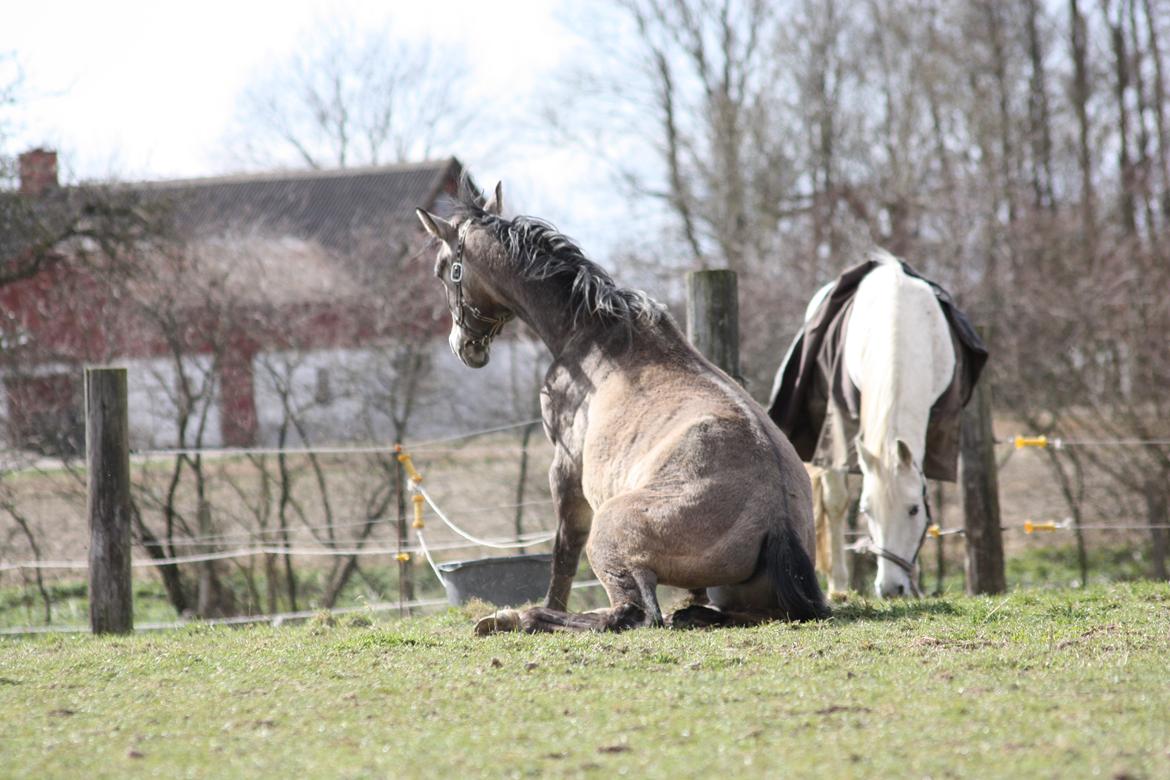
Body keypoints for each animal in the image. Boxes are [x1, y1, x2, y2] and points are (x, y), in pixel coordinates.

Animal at [416, 183, 828, 636]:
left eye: (443, 269)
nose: (463, 347)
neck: (592, 335)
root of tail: (778, 525)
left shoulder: (565, 468)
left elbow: (564, 553)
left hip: (610, 536)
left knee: (632, 614)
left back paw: (515, 618)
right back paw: (693, 614)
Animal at [772, 253, 982, 603]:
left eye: (914, 510)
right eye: (867, 511)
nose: (892, 588)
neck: (901, 323)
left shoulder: (938, 424)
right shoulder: (840, 425)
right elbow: (837, 501)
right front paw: (838, 584)